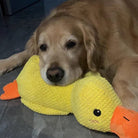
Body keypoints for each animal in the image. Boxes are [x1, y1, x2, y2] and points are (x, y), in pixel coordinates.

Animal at [0, 0, 138, 111]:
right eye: (43, 47)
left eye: (71, 44)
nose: (54, 75)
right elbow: (21, 54)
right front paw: (4, 63)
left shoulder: (130, 58)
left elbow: (119, 81)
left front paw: (131, 106)